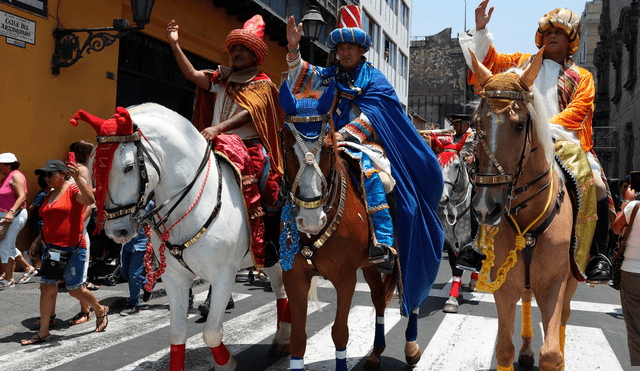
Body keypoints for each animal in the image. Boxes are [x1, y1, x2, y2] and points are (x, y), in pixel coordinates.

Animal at [71, 104, 288, 371]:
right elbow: (177, 333)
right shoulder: (175, 278)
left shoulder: (224, 275)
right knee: (281, 292)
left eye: (129, 167)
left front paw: (226, 363)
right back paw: (281, 340)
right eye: (92, 166)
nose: (116, 231)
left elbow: (211, 333)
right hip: (269, 260)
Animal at [278, 82, 420, 371]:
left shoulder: (345, 278)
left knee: (415, 293)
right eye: (286, 148)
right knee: (378, 299)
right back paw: (376, 353)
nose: (311, 220)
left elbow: (339, 332)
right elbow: (298, 338)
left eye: (328, 148)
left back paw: (411, 348)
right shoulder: (294, 277)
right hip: (371, 266)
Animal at [430, 134, 476, 314]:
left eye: (457, 166)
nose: (442, 198)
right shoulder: (449, 239)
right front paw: (456, 293)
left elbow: (459, 265)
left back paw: (474, 281)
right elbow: (454, 264)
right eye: (437, 162)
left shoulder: (465, 238)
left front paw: (452, 299)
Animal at [470, 48, 580, 371]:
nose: (485, 208)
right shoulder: (505, 285)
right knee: (528, 301)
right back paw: (528, 349)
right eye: (477, 124)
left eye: (519, 125)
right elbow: (504, 350)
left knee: (564, 318)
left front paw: (552, 357)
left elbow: (552, 353)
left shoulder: (555, 283)